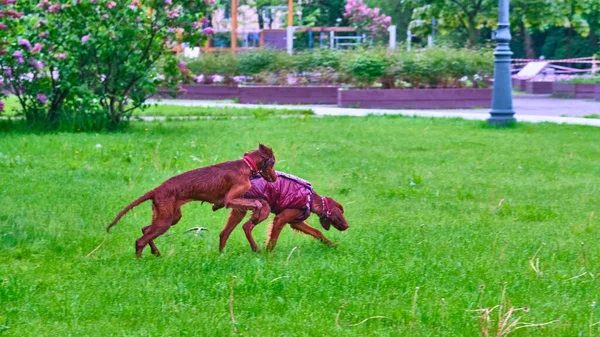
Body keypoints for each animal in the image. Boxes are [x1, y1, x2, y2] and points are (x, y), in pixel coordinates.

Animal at [107, 143, 276, 256]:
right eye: (273, 162)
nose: (274, 179)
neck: (246, 165)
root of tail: (156, 190)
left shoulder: (235, 200)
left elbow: (259, 202)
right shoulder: (229, 200)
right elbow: (256, 203)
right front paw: (255, 217)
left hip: (171, 217)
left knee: (145, 229)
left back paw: (156, 252)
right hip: (165, 221)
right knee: (140, 240)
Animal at [216, 172, 350, 251]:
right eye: (342, 212)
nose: (347, 226)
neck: (311, 200)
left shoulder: (296, 222)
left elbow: (317, 232)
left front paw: (331, 244)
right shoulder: (280, 219)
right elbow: (273, 241)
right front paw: (268, 255)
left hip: (239, 212)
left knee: (224, 233)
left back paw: (222, 255)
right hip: (263, 208)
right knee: (246, 227)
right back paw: (255, 248)